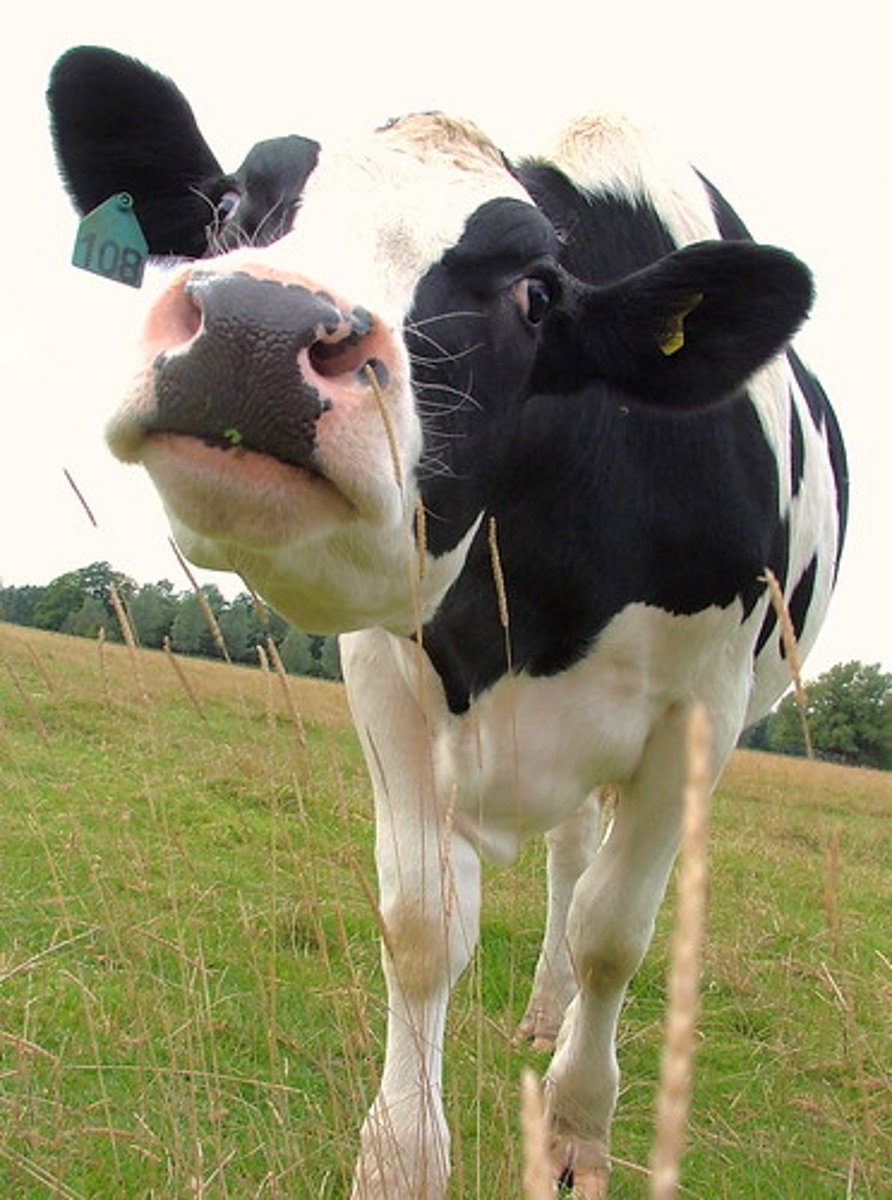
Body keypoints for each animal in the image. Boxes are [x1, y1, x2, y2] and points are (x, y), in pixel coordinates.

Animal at [48, 46, 848, 1198]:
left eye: (535, 292)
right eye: (233, 207)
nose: (259, 326)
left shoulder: (702, 707)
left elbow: (616, 932)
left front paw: (577, 1133)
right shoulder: (385, 674)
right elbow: (424, 922)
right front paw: (400, 1159)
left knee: (587, 886)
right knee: (566, 856)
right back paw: (540, 1010)